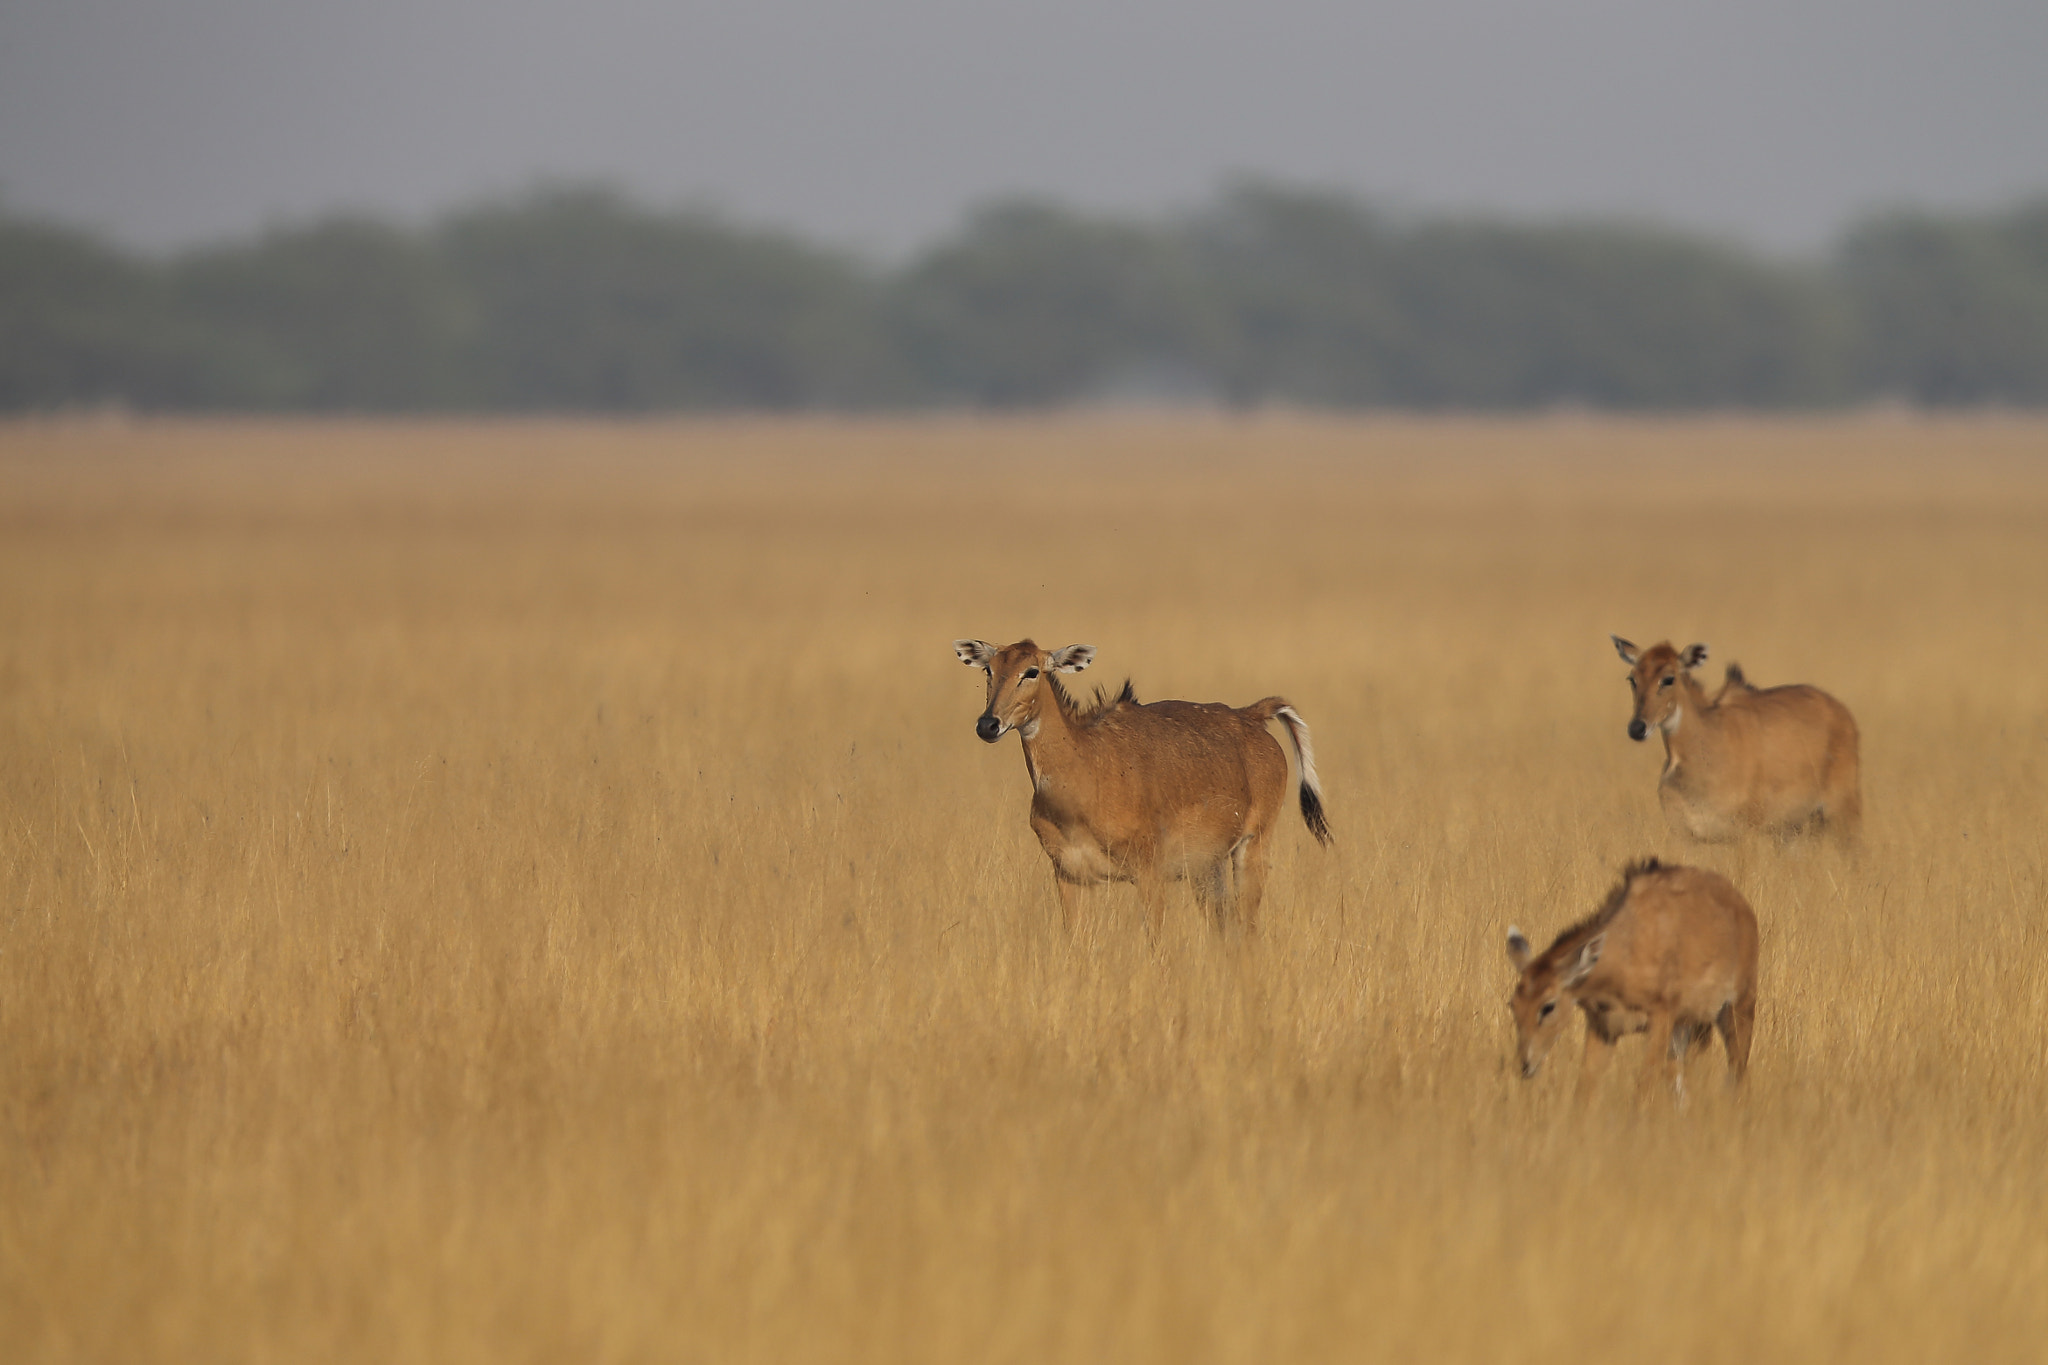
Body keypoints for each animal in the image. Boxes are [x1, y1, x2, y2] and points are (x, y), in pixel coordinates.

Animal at [954, 642, 1335, 941]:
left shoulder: (1149, 874)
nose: (988, 724)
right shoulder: (1068, 875)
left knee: (1248, 928)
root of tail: (1252, 716)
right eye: (989, 668)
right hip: (1207, 868)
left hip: (1251, 846)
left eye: (1031, 671)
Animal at [1507, 859, 1761, 1105]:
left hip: (1737, 1008)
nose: (1525, 1065)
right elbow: (1584, 1092)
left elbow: (1643, 1090)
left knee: (1737, 1073)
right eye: (1513, 1005)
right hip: (1689, 1028)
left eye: (1548, 1006)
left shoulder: (1661, 1018)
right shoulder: (1603, 1027)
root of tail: (1742, 906)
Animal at [1605, 638, 1867, 843]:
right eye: (1632, 678)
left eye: (1669, 678)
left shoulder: (1746, 832)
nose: (1637, 728)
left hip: (1843, 814)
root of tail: (1843, 713)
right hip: (1792, 830)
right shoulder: (1685, 834)